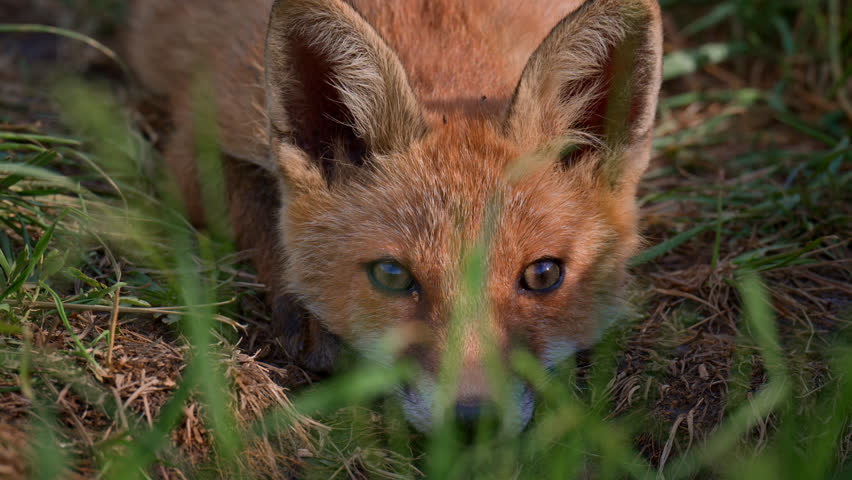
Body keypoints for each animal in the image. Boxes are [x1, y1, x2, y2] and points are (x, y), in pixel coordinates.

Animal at [127, 0, 663, 432]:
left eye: (544, 274)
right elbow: (262, 212)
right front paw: (308, 314)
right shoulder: (194, 145)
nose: (474, 421)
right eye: (391, 275)